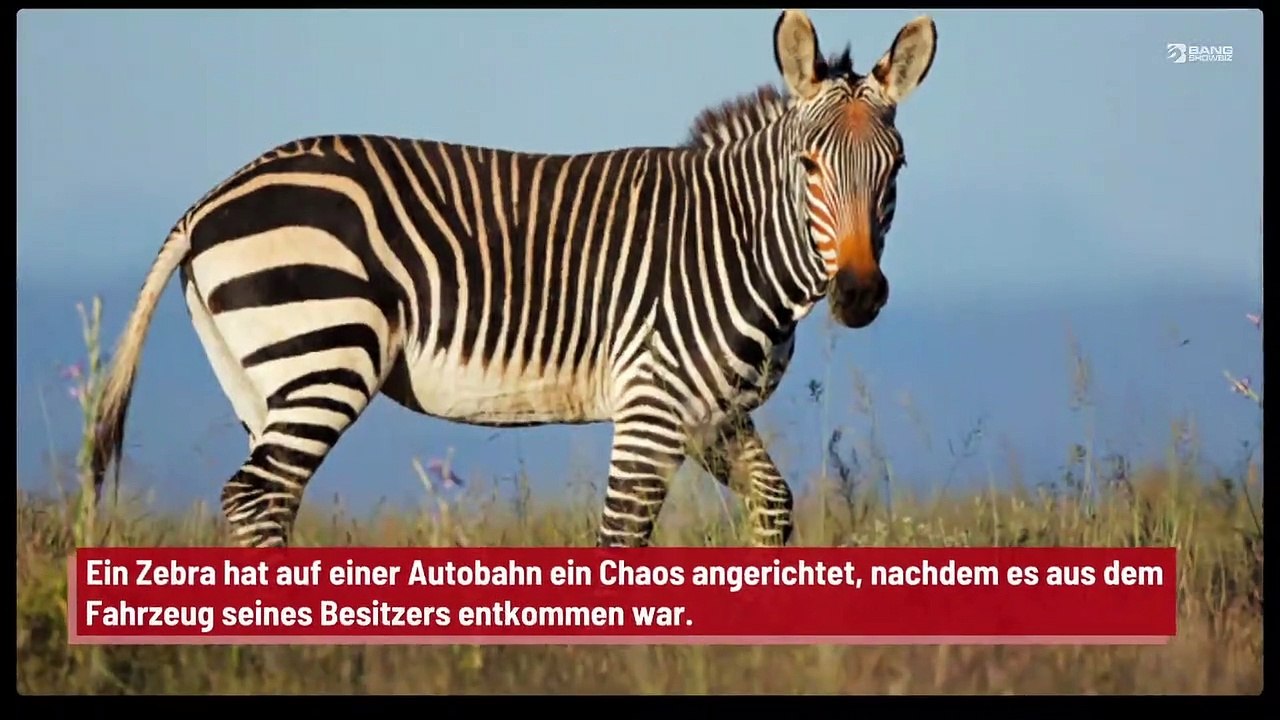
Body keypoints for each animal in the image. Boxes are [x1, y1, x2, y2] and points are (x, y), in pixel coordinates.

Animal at [89, 9, 937, 549]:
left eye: (896, 169)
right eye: (809, 166)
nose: (859, 296)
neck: (737, 242)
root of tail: (209, 201)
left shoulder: (714, 417)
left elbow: (775, 506)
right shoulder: (654, 403)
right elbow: (621, 536)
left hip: (263, 383)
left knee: (263, 499)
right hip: (324, 351)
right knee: (256, 496)